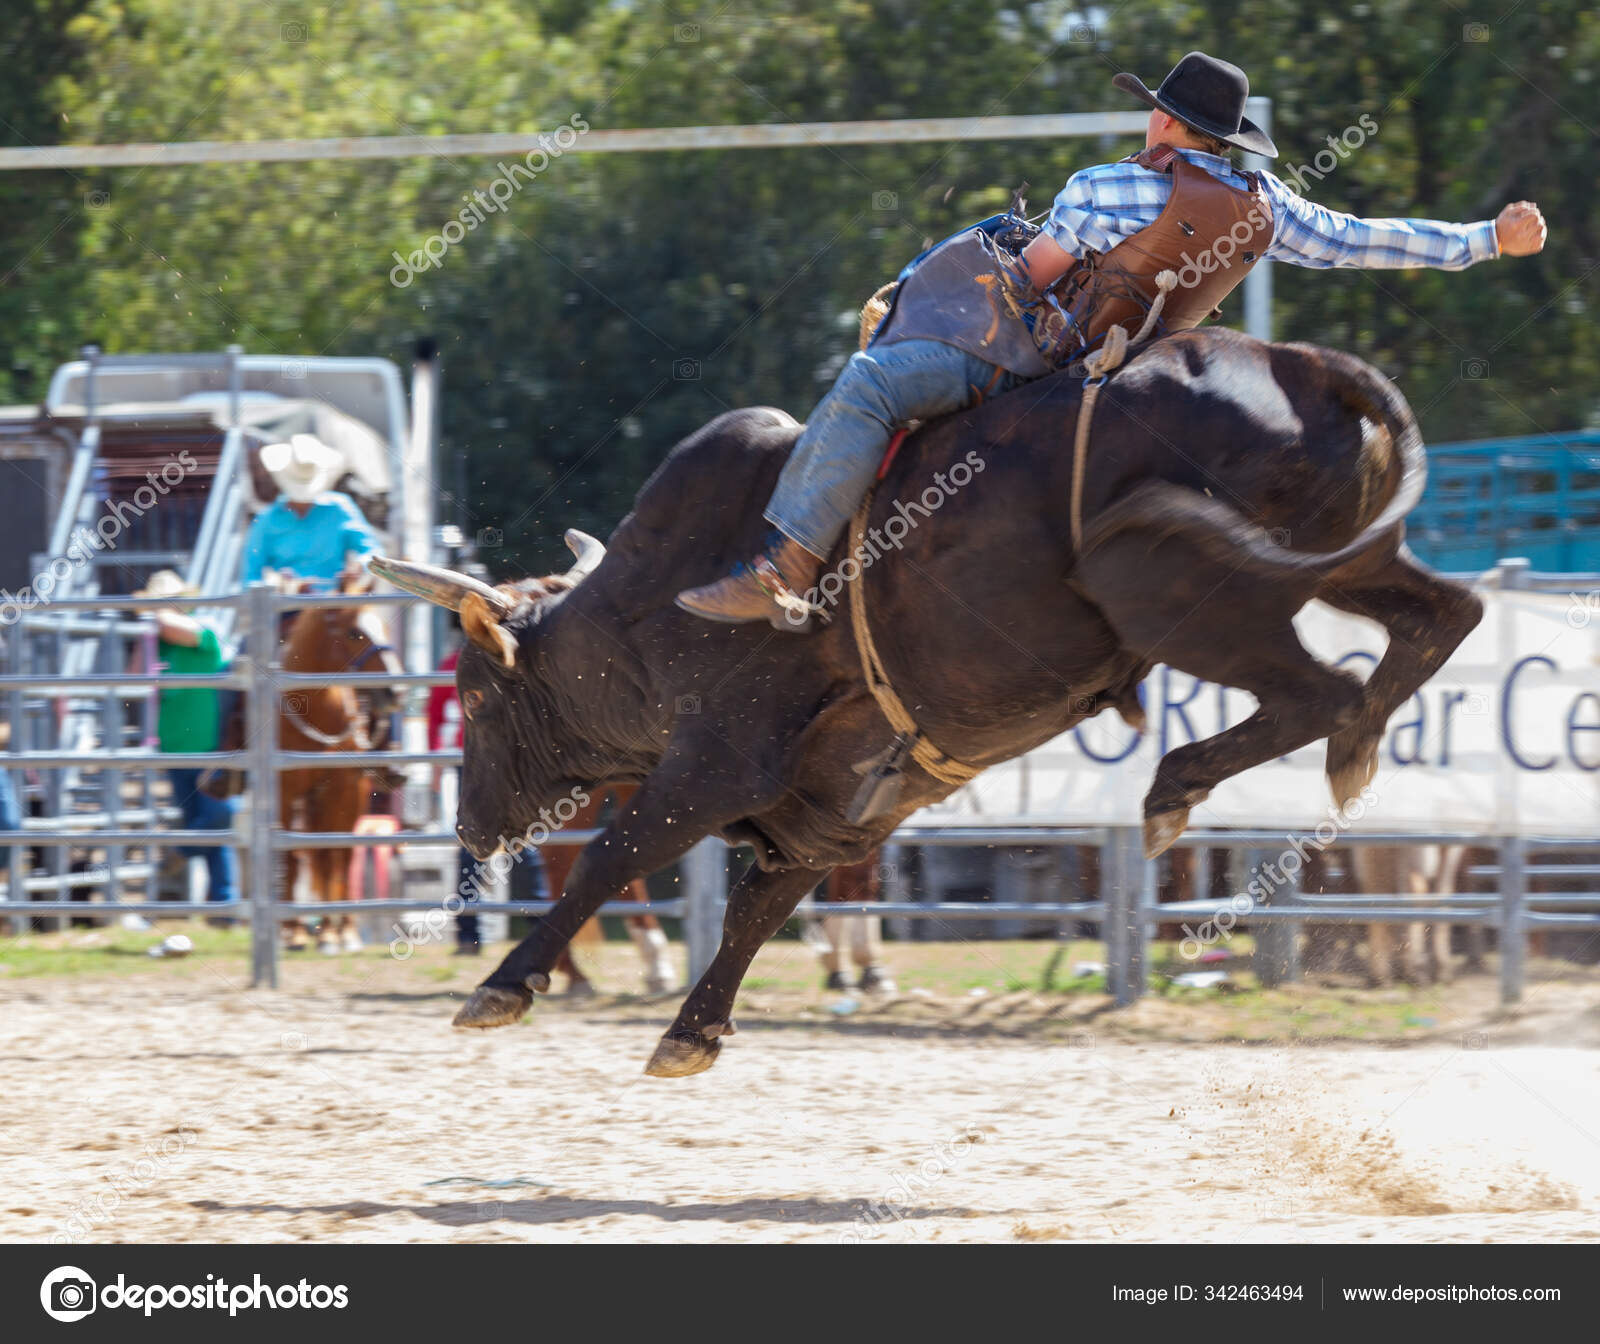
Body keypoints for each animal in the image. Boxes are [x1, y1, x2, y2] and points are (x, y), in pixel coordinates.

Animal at [275, 582, 403, 947]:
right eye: (354, 633)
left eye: (384, 625)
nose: (396, 690)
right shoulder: (283, 792)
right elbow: (289, 853)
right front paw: (293, 932)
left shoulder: (343, 787)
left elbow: (339, 853)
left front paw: (340, 932)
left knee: (335, 854)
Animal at [368, 331, 1478, 1075]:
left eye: (472, 696)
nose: (468, 827)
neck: (649, 608)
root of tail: (1296, 361)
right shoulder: (826, 818)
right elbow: (757, 907)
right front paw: (693, 1030)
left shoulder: (713, 765)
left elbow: (615, 854)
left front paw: (502, 985)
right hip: (1350, 556)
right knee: (1441, 615)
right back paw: (1343, 751)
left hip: (1166, 584)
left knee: (1321, 687)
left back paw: (1186, 785)